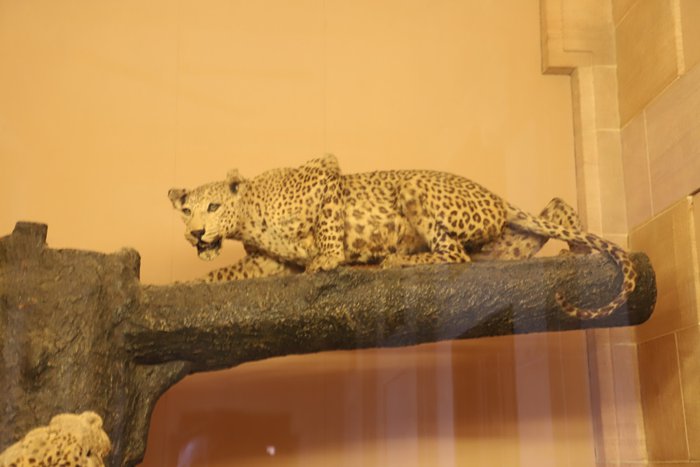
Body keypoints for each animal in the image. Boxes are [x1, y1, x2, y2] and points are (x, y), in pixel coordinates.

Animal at [168, 154, 636, 319]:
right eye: (188, 211)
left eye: (213, 207)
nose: (196, 233)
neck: (247, 215)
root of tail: (496, 197)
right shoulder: (265, 261)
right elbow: (221, 276)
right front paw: (183, 283)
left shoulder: (325, 173)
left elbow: (330, 227)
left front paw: (329, 259)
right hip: (502, 243)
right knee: (551, 210)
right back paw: (574, 247)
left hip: (414, 188)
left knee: (453, 255)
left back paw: (395, 260)